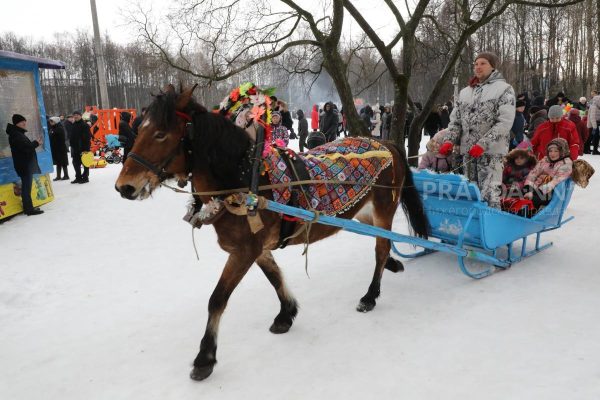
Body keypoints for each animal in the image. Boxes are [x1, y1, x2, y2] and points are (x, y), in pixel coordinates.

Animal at [115, 85, 428, 382]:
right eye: (140, 128)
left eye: (160, 134)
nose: (124, 186)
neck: (244, 182)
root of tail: (386, 143)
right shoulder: (257, 248)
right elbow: (275, 276)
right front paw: (286, 313)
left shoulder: (244, 251)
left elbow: (217, 299)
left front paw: (205, 357)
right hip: (364, 213)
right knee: (381, 243)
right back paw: (393, 265)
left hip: (384, 208)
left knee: (380, 249)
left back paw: (371, 295)